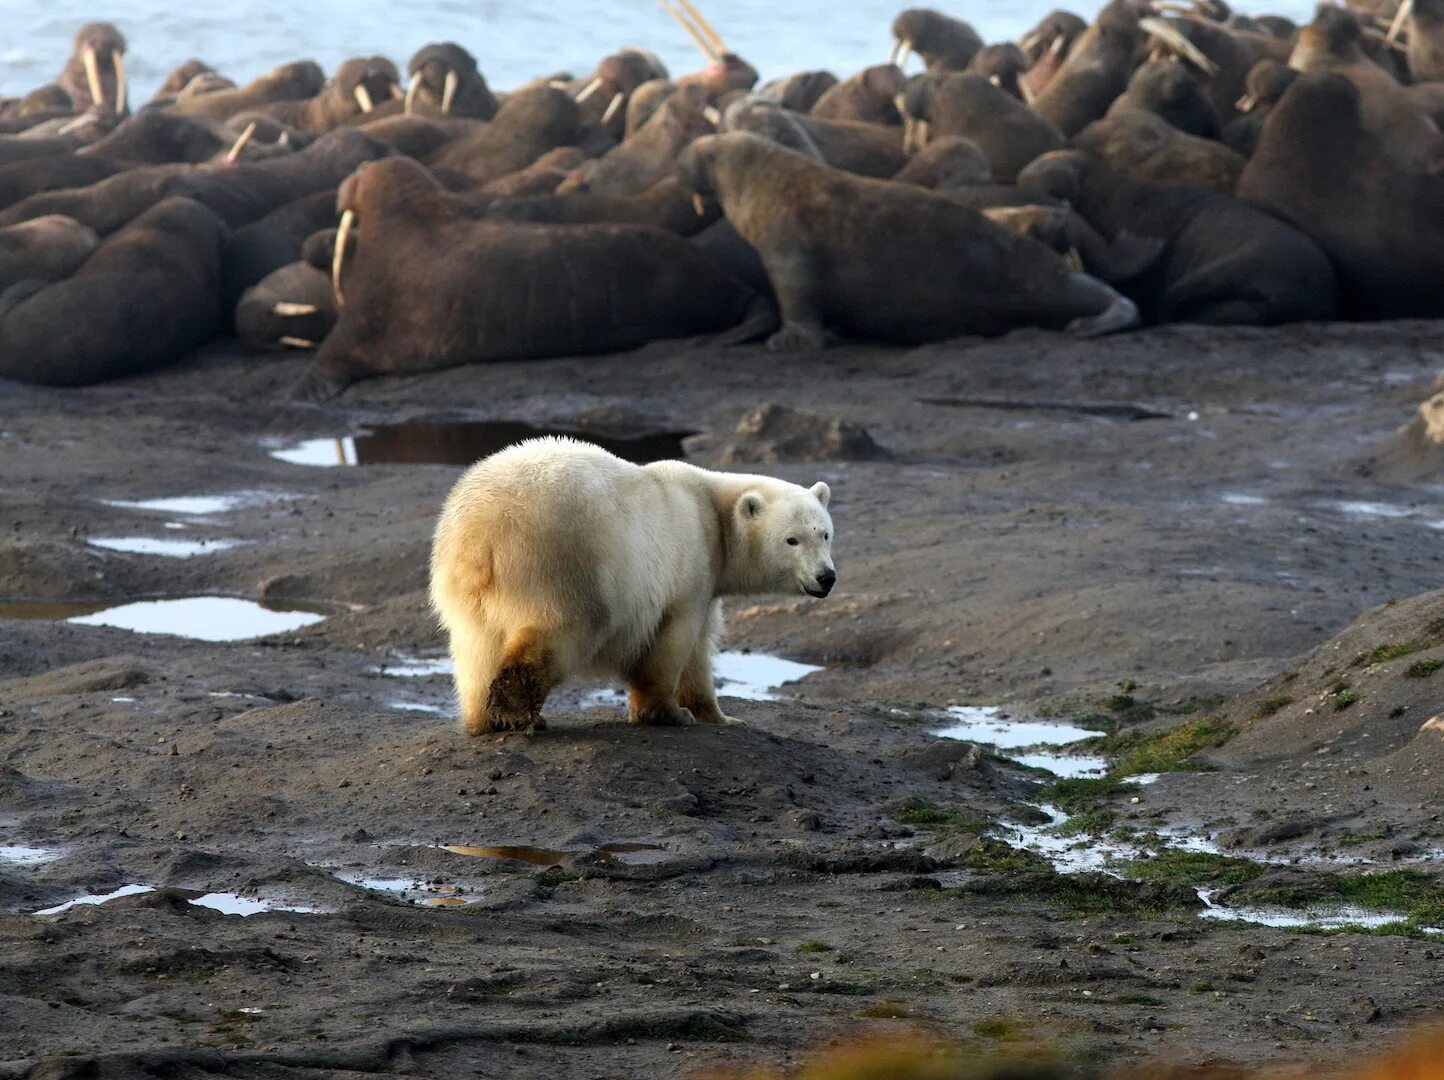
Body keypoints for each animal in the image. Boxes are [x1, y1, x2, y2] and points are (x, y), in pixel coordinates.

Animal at [427, 436, 837, 733]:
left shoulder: (705, 578)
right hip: (561, 564)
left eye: (825, 534)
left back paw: (482, 719)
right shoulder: (688, 563)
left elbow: (699, 651)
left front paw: (719, 716)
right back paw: (518, 713)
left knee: (476, 648)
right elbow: (673, 642)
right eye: (792, 540)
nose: (826, 577)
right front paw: (669, 713)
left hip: (464, 590)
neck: (711, 511)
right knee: (562, 631)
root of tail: (481, 535)